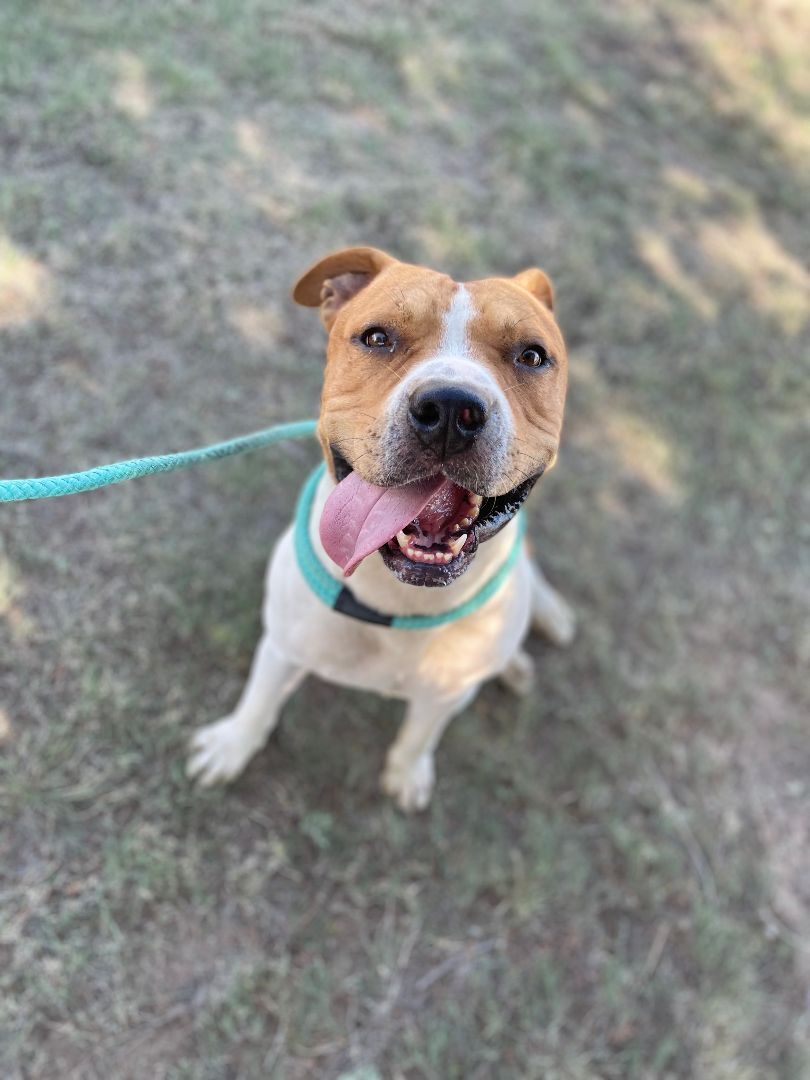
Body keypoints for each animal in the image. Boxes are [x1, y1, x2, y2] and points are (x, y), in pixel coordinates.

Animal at [189, 247, 578, 812]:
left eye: (531, 356)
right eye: (377, 338)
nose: (450, 410)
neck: (398, 601)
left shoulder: (448, 693)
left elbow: (420, 734)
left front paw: (407, 774)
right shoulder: (282, 644)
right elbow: (259, 703)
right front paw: (231, 745)